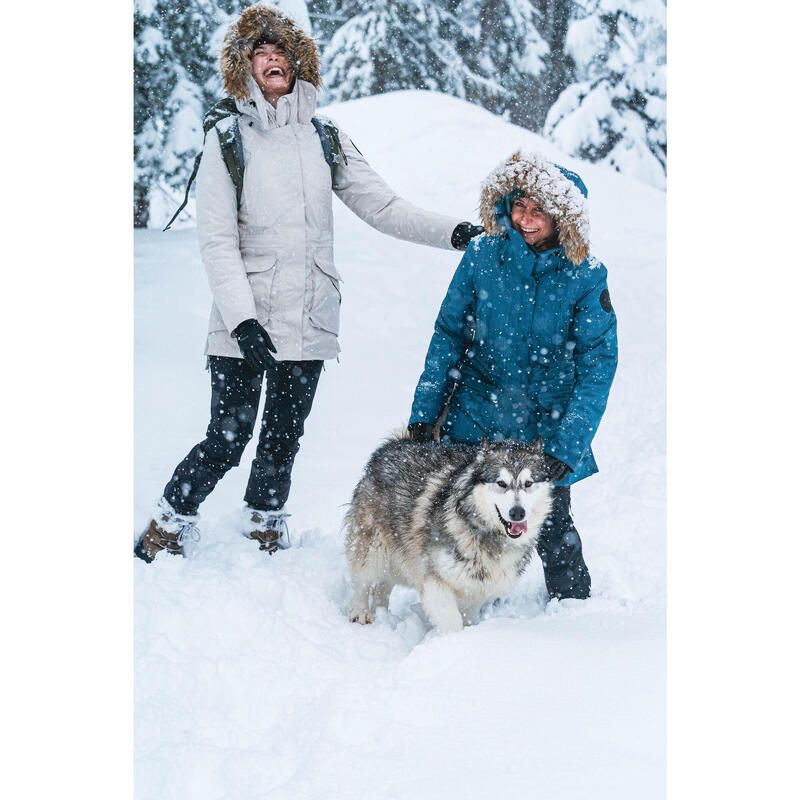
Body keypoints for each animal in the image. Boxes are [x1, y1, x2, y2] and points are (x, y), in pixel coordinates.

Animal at [346, 434, 552, 636]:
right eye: (501, 483)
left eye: (528, 483)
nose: (517, 512)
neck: (485, 535)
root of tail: (391, 445)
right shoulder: (434, 581)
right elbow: (452, 622)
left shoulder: (476, 589)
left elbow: (466, 618)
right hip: (373, 550)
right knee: (363, 582)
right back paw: (361, 613)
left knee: (382, 586)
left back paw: (381, 612)